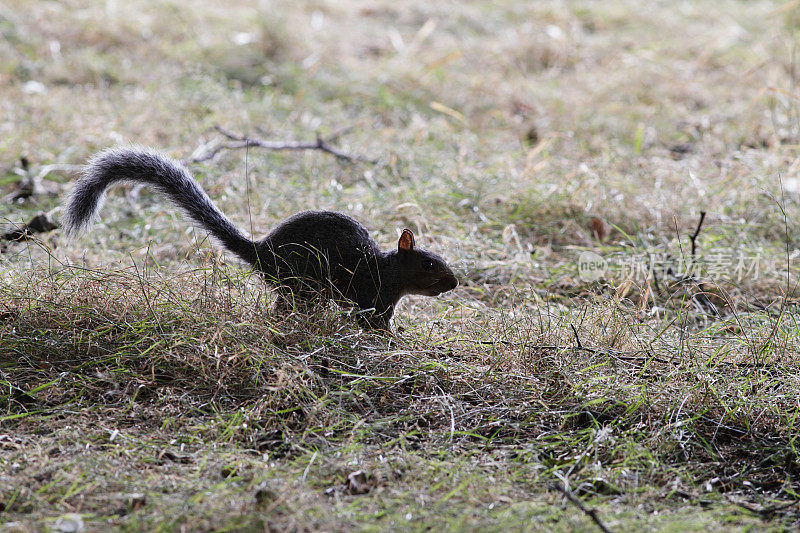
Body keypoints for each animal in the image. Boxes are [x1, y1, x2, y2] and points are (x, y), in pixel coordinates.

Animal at [61, 147, 456, 328]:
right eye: (428, 264)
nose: (454, 283)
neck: (388, 271)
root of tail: (262, 251)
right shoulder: (375, 299)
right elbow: (372, 325)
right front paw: (393, 339)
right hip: (303, 284)